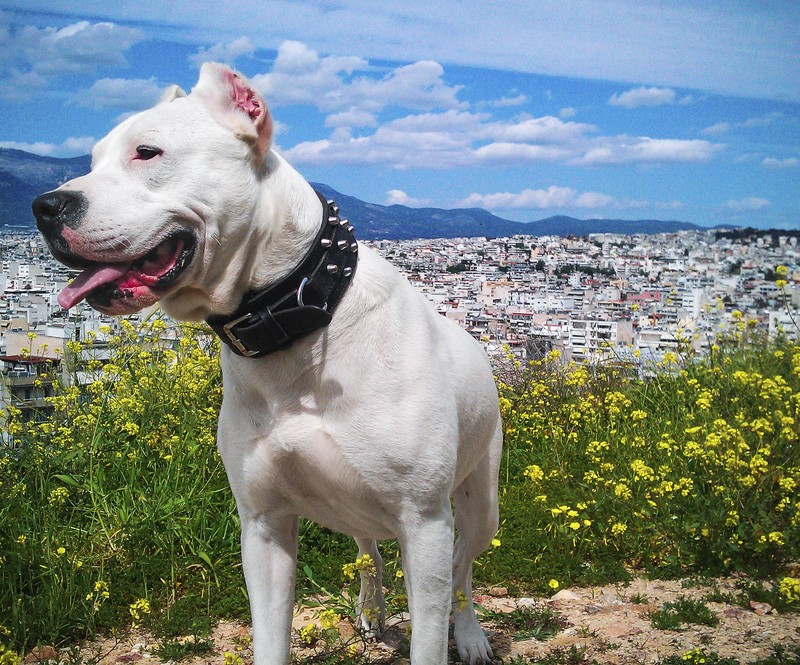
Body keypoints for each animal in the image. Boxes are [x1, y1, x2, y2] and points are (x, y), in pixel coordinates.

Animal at [36, 63, 506, 664]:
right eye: (92, 160)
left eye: (147, 152)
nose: (45, 208)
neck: (296, 320)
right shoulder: (263, 526)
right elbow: (269, 634)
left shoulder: (423, 523)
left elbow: (430, 632)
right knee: (370, 551)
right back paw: (372, 609)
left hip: (477, 504)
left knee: (463, 566)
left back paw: (469, 634)